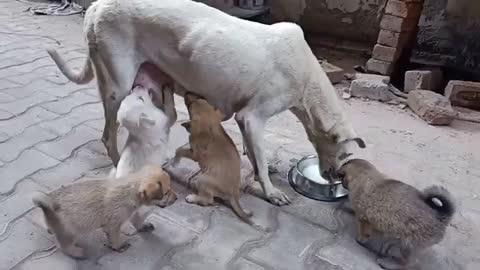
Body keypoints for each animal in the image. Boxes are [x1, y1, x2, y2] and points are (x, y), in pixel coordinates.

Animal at [32, 165, 178, 260]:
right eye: (166, 192)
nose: (177, 198)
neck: (130, 189)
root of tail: (49, 204)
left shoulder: (121, 217)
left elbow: (135, 221)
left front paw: (143, 226)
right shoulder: (115, 224)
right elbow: (116, 237)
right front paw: (119, 246)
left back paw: (50, 229)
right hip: (69, 232)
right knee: (64, 246)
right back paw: (78, 253)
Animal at [47, 0, 364, 205]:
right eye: (345, 154)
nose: (335, 178)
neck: (308, 80)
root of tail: (97, 6)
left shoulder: (245, 119)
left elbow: (253, 153)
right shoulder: (252, 117)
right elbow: (260, 160)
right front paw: (270, 191)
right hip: (118, 86)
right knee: (108, 134)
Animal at [174, 94, 253, 223]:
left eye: (190, 106)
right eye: (201, 99)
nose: (187, 93)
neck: (211, 126)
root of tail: (233, 194)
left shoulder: (194, 154)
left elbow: (180, 150)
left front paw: (175, 160)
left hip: (202, 179)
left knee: (208, 200)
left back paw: (193, 198)